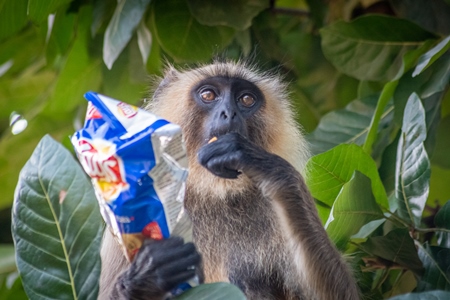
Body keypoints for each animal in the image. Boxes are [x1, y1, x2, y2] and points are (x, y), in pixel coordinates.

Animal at [97, 61, 358, 300]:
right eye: (208, 95)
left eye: (246, 99)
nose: (229, 113)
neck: (217, 191)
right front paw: (150, 273)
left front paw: (260, 162)